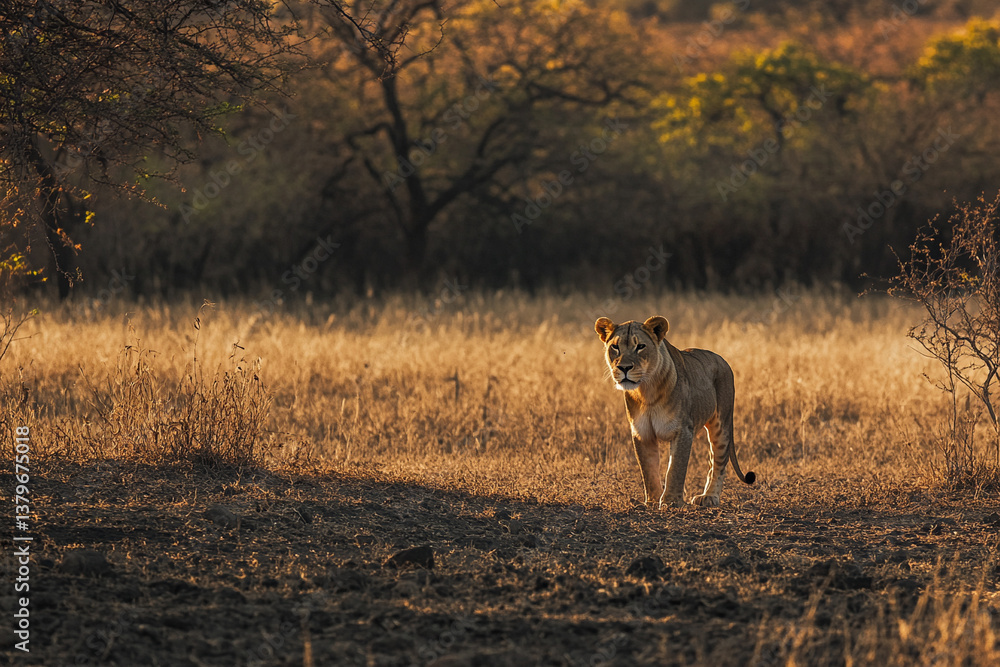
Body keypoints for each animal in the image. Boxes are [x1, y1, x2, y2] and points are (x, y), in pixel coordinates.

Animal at [595, 315, 755, 508]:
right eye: (615, 347)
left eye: (640, 346)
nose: (624, 368)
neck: (646, 391)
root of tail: (722, 360)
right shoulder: (642, 432)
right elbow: (648, 470)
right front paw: (653, 500)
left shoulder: (683, 430)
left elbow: (676, 468)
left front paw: (671, 501)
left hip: (721, 425)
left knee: (718, 461)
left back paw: (709, 496)